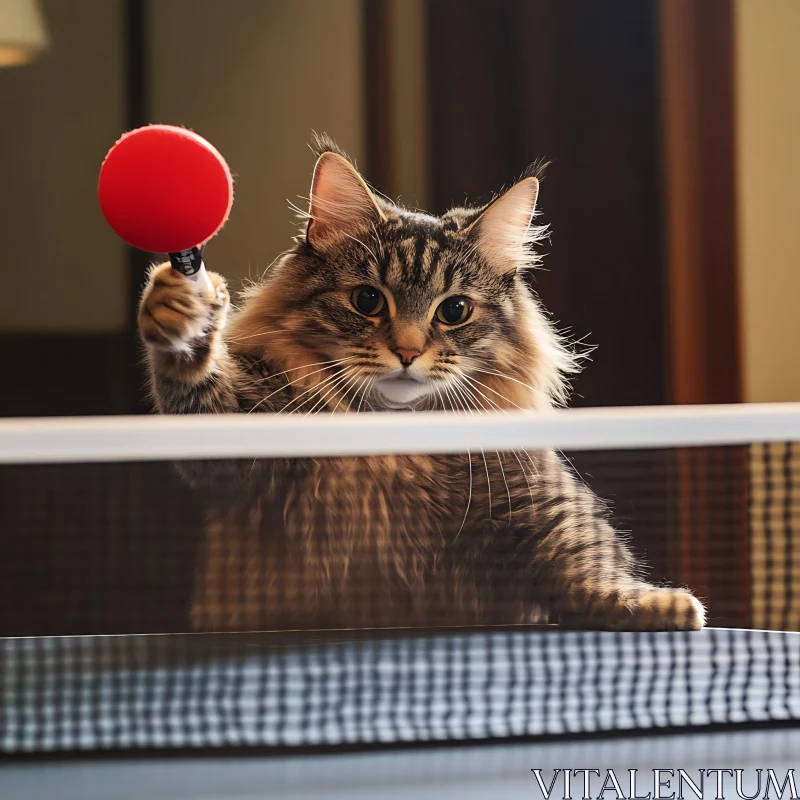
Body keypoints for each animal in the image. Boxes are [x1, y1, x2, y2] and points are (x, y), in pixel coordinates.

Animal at [139, 141, 708, 636]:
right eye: (368, 301)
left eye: (454, 310)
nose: (408, 352)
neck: (396, 440)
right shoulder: (246, 438)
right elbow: (196, 380)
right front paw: (182, 310)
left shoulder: (532, 497)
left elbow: (584, 559)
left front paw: (655, 605)